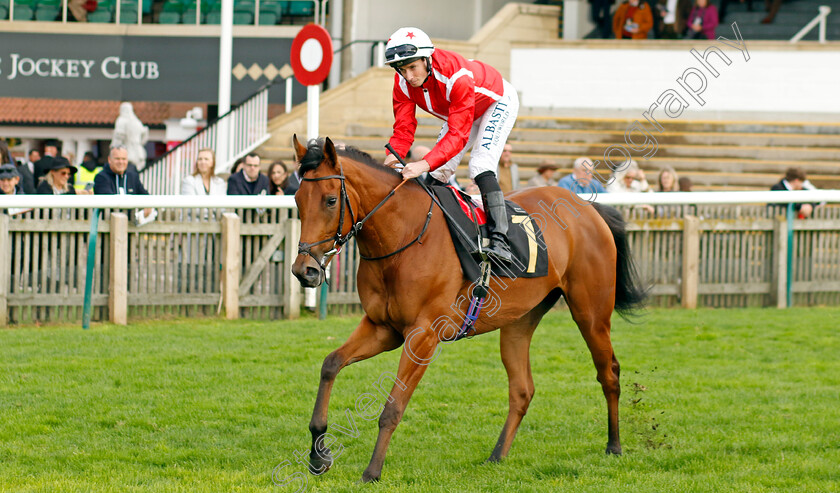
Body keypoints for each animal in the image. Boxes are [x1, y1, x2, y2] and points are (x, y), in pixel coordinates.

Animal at [292, 136, 648, 482]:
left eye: (330, 200)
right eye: (296, 199)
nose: (303, 270)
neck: (404, 236)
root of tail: (589, 207)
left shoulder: (423, 335)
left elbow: (393, 407)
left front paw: (371, 472)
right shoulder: (383, 327)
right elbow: (330, 364)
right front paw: (318, 454)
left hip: (591, 313)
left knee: (609, 373)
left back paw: (614, 445)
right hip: (519, 321)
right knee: (522, 390)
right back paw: (497, 455)